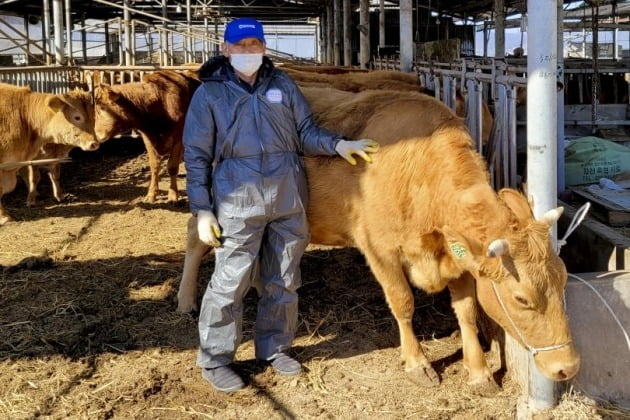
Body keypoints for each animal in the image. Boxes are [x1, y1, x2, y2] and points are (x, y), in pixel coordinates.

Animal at [0, 83, 99, 225]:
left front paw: (59, 196)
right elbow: (33, 178)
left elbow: (54, 176)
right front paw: (5, 216)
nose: (94, 143)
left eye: (93, 116)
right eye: (77, 117)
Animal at [94, 69, 201, 203]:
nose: (95, 134)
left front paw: (173, 195)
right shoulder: (147, 138)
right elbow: (154, 165)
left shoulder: (179, 138)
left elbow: (172, 166)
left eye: (102, 108)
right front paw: (151, 194)